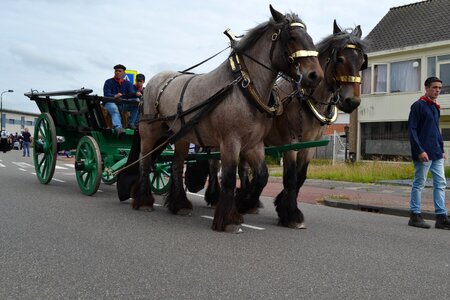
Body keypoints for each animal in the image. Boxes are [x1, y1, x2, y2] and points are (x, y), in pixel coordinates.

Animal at [118, 5, 324, 233]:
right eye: (292, 37)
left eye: (310, 37)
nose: (316, 75)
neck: (244, 87)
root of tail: (153, 83)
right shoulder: (230, 141)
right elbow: (228, 177)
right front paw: (230, 219)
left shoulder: (253, 144)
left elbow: (261, 176)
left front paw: (245, 203)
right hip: (150, 133)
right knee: (145, 163)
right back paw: (144, 200)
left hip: (180, 137)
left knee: (176, 166)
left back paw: (180, 205)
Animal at [202, 19, 368, 229]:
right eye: (340, 59)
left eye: (362, 61)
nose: (352, 102)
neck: (305, 100)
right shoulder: (291, 143)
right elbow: (290, 177)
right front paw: (290, 215)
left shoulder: (310, 145)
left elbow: (301, 176)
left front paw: (282, 205)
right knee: (213, 164)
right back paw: (216, 197)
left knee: (243, 169)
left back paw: (248, 200)